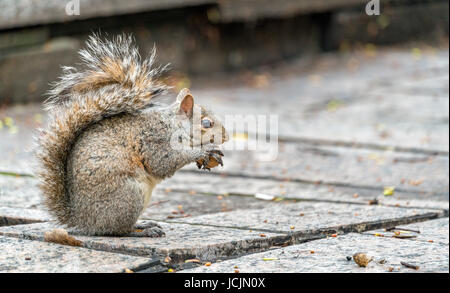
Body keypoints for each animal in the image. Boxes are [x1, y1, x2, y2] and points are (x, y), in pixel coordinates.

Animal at [36, 33, 229, 236]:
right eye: (207, 123)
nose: (226, 137)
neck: (173, 125)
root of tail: (83, 221)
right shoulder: (155, 140)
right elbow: (163, 162)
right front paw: (203, 152)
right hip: (129, 195)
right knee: (118, 230)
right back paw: (143, 231)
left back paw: (143, 224)